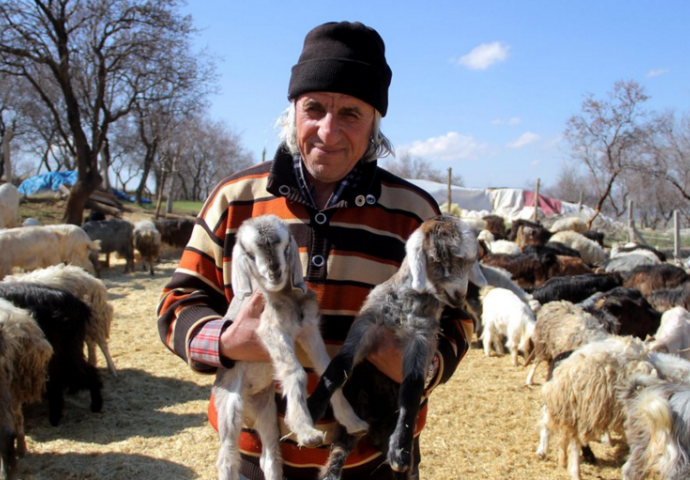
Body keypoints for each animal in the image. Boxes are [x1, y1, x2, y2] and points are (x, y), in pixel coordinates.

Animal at [214, 216, 366, 480]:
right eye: (250, 255)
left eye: (284, 247)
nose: (274, 272)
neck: (284, 297)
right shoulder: (271, 331)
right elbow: (295, 372)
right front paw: (307, 432)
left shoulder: (308, 330)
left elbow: (329, 371)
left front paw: (354, 422)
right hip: (230, 407)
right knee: (227, 459)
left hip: (266, 411)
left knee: (269, 457)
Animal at [306, 215, 484, 480]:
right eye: (441, 258)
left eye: (471, 262)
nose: (459, 295)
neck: (405, 307)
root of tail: (374, 429)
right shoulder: (365, 327)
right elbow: (337, 369)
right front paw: (310, 409)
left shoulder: (421, 342)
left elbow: (412, 391)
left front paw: (400, 450)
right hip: (353, 417)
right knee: (340, 447)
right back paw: (331, 473)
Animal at [536, 336, 652, 480]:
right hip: (583, 409)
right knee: (573, 442)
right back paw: (576, 470)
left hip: (568, 408)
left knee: (555, 429)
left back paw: (557, 458)